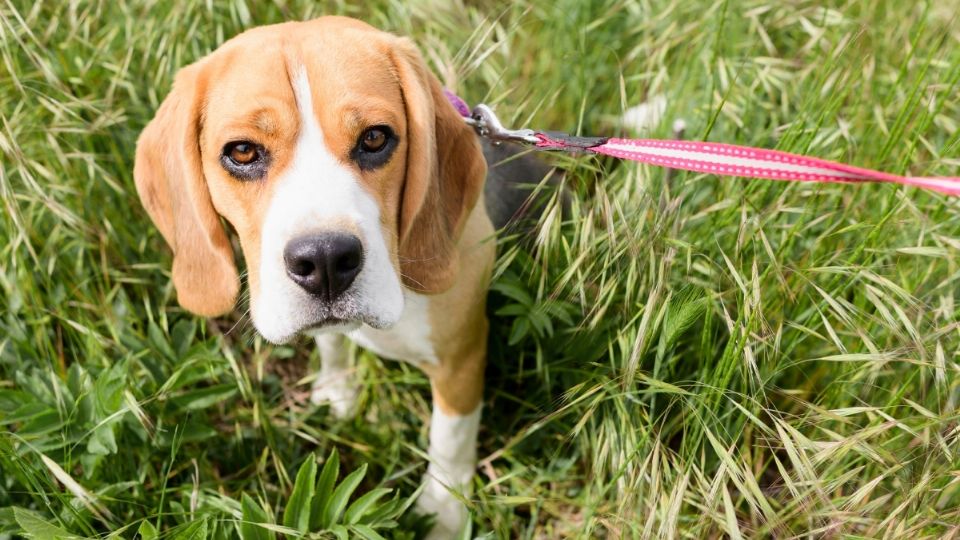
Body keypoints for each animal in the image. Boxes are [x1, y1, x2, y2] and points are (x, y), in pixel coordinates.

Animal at [136, 14, 556, 536]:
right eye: (242, 152)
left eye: (375, 138)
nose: (325, 261)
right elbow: (331, 343)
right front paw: (336, 390)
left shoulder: (461, 354)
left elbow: (451, 437)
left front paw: (444, 511)